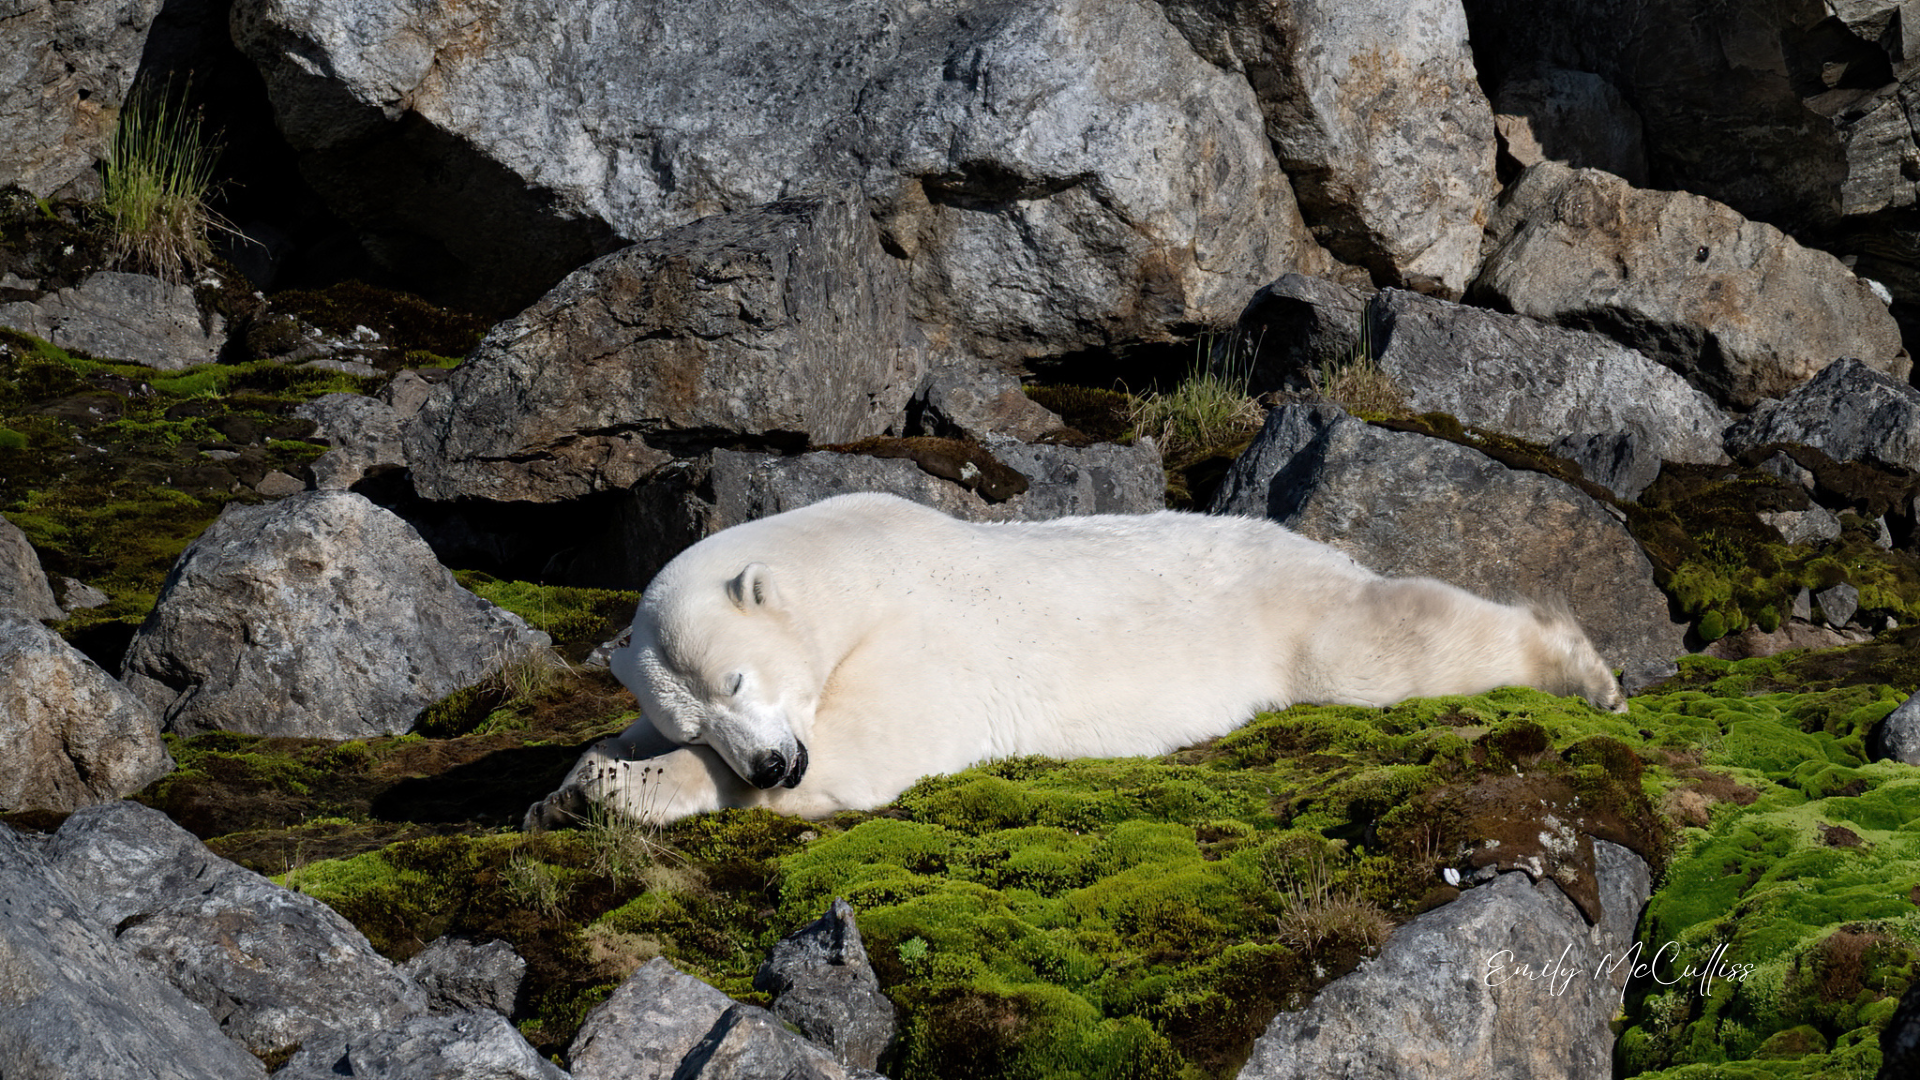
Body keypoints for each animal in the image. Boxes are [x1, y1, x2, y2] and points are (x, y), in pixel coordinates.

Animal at [526, 492, 1625, 828]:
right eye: (691, 710)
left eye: (738, 680)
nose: (767, 760)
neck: (851, 564)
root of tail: (1306, 546)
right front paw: (575, 780)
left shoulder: (918, 646)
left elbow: (861, 755)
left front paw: (619, 790)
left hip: (1289, 622)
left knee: (1392, 643)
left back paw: (1582, 668)